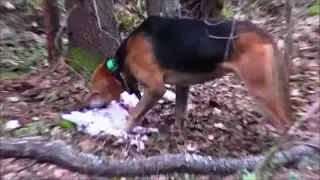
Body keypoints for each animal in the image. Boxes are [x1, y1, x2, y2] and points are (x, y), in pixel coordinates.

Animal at [87, 15, 292, 132]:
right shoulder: (175, 85)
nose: (85, 106)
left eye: (95, 92)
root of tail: (262, 33)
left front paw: (122, 131)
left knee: (284, 125)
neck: (122, 60)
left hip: (260, 89)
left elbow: (134, 114)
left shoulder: (155, 88)